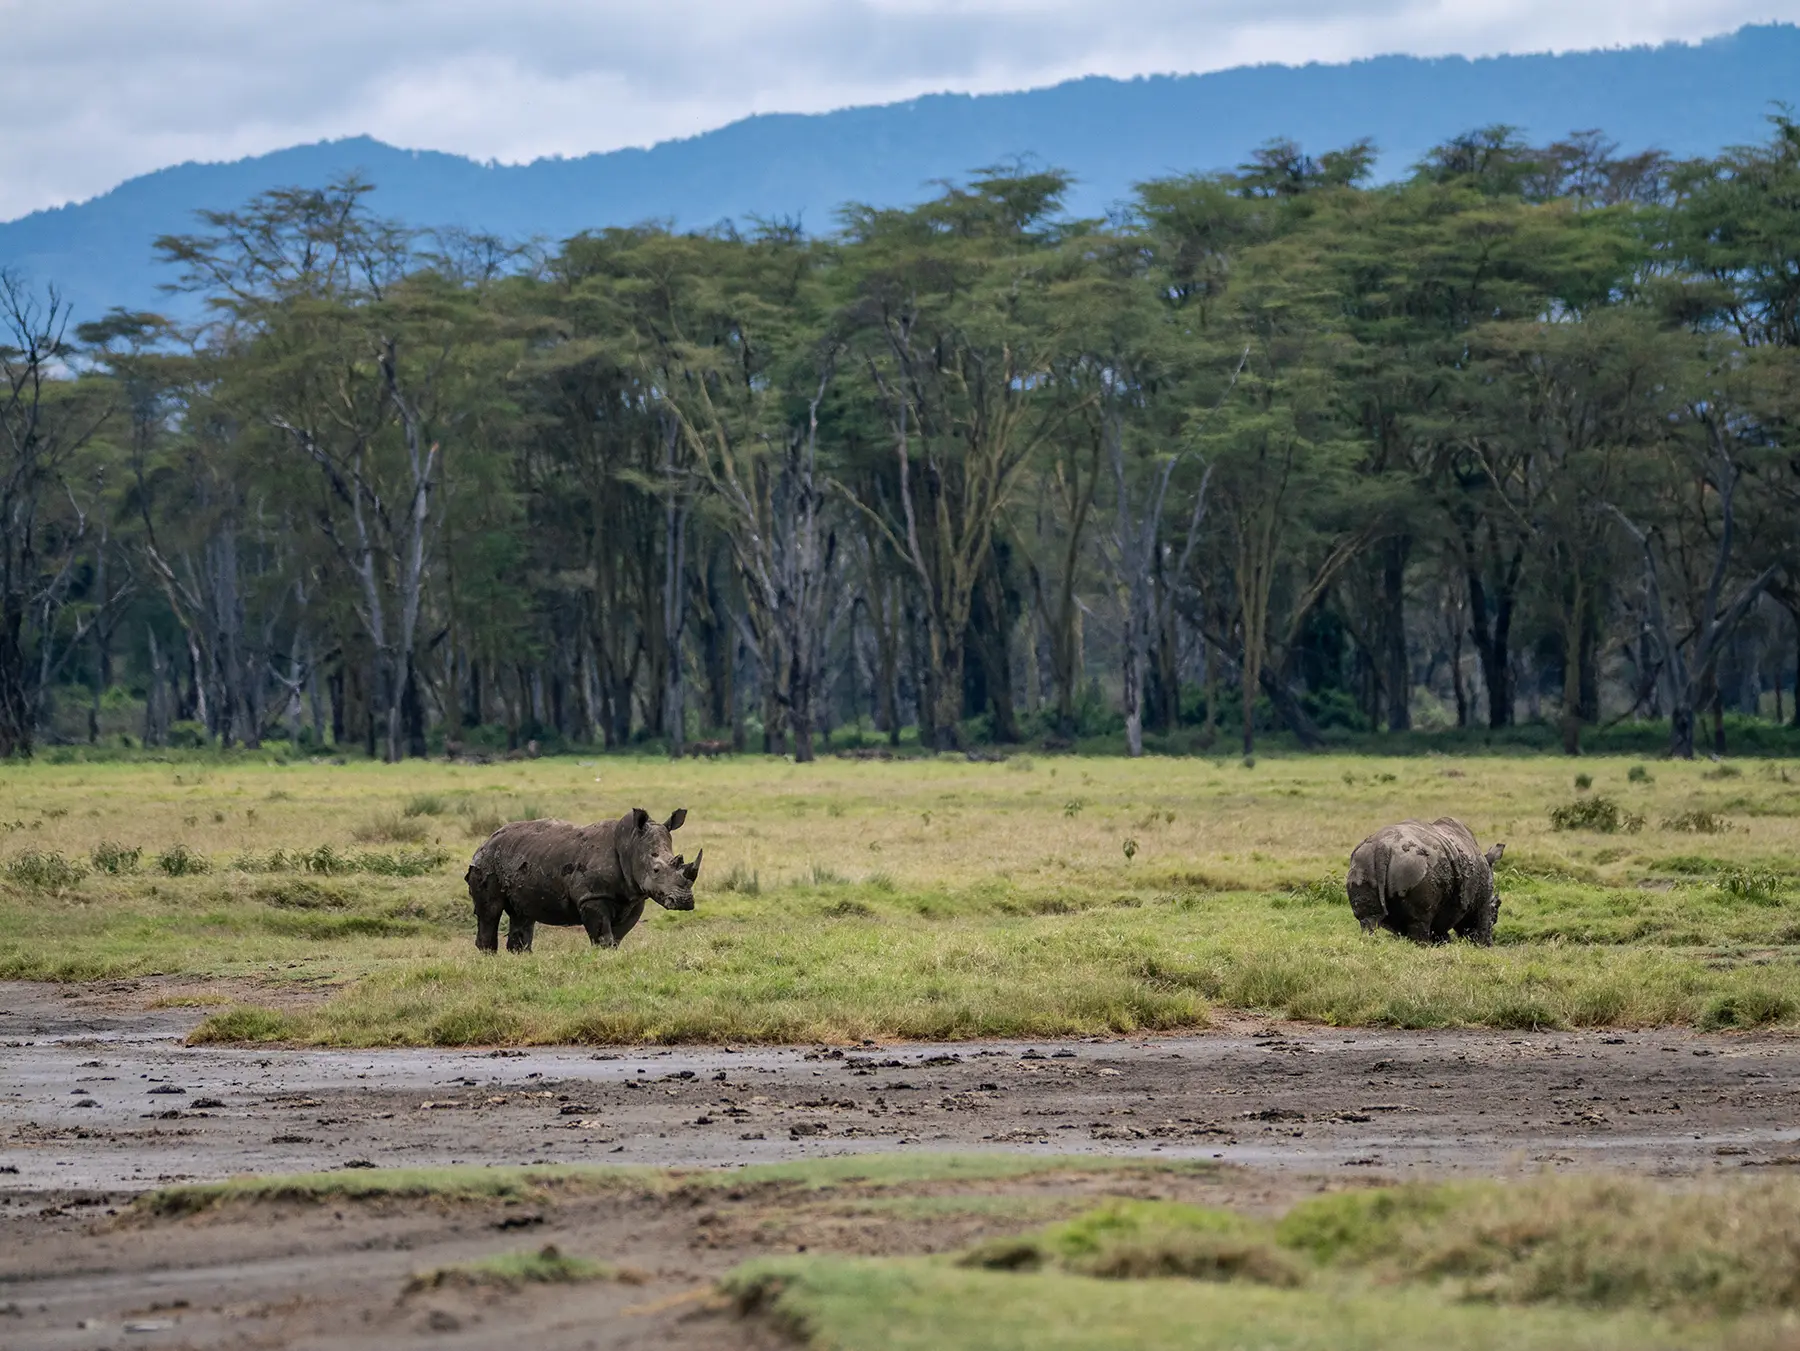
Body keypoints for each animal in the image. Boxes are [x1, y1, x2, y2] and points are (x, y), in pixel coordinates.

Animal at [465, 807, 701, 952]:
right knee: (490, 911)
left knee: (522, 914)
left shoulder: (635, 899)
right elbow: (603, 937)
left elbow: (617, 938)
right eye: (656, 870)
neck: (631, 845)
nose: (685, 901)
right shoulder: (592, 896)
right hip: (486, 861)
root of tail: (486, 841)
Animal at [1346, 818, 1504, 945]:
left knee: (1368, 919)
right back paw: (1423, 946)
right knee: (1420, 919)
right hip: (1416, 864)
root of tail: (1383, 846)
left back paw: (1369, 941)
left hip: (1363, 861)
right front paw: (1480, 943)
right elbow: (1480, 920)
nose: (1490, 944)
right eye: (1496, 907)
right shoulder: (1481, 901)